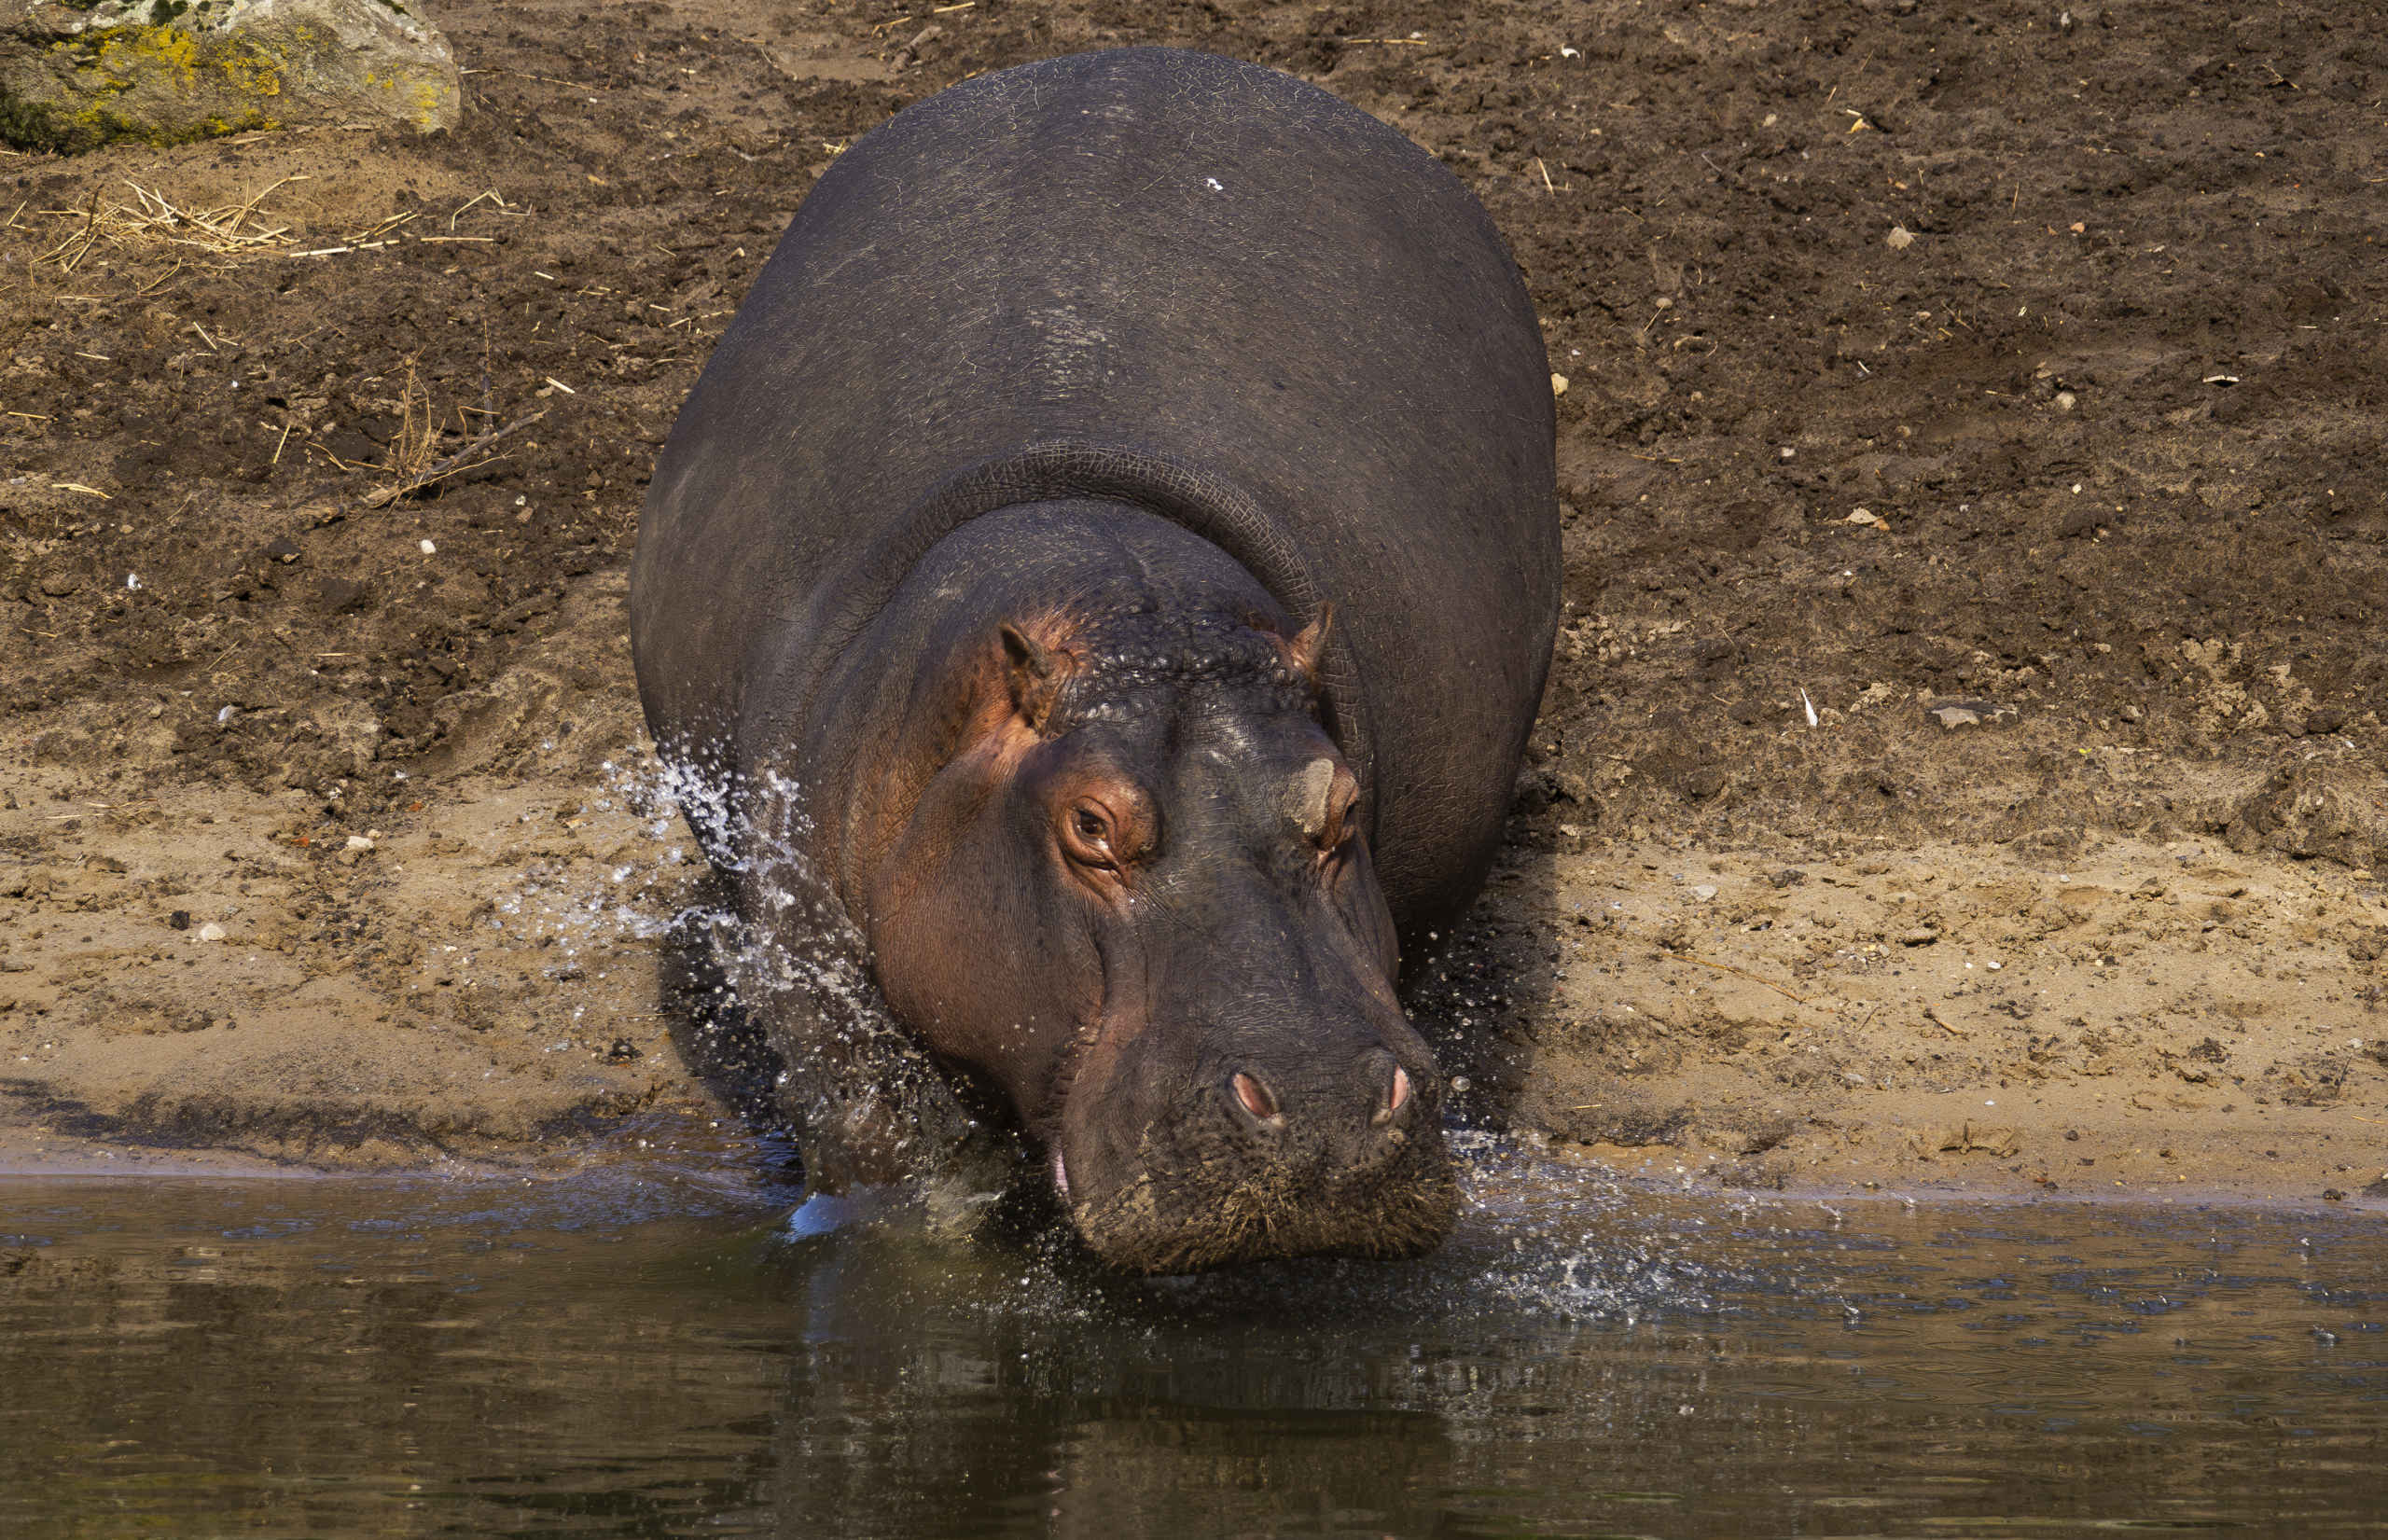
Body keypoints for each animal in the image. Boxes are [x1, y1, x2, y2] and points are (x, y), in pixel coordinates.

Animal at [631, 48, 1557, 1273]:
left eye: (1345, 807)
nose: (1319, 1114)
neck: (1133, 602)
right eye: (1088, 825)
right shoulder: (821, 993)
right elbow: (896, 1176)